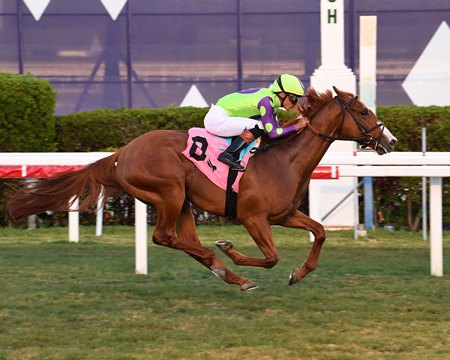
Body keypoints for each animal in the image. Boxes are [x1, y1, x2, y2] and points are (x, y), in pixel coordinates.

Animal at [7, 86, 398, 290]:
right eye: (363, 111)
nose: (390, 141)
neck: (283, 160)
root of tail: (123, 153)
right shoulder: (253, 218)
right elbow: (271, 257)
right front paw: (232, 249)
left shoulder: (284, 215)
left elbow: (319, 232)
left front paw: (298, 273)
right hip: (168, 193)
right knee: (164, 237)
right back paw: (222, 261)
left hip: (181, 202)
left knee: (183, 240)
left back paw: (225, 272)